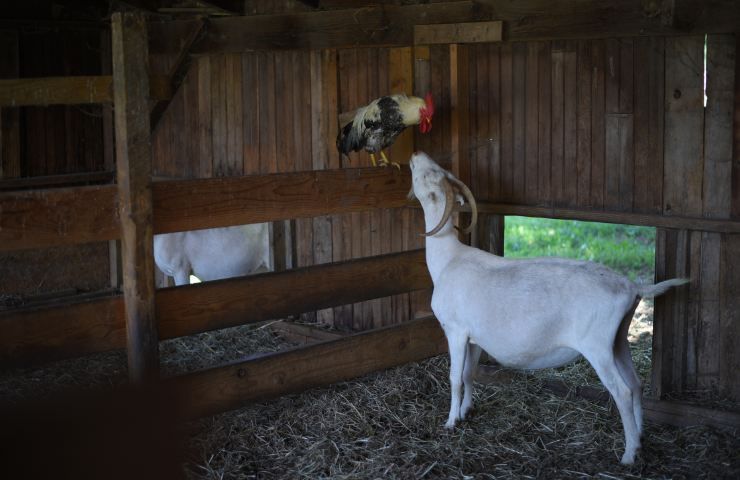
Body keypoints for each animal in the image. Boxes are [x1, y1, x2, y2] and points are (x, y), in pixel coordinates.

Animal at [408, 151, 684, 464]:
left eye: (426, 174)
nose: (416, 154)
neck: (448, 259)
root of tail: (631, 287)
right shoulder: (474, 336)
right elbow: (469, 374)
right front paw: (467, 411)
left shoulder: (455, 330)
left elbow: (455, 377)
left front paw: (451, 421)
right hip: (619, 341)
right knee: (636, 385)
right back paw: (640, 439)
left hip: (597, 347)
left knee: (623, 392)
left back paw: (628, 454)